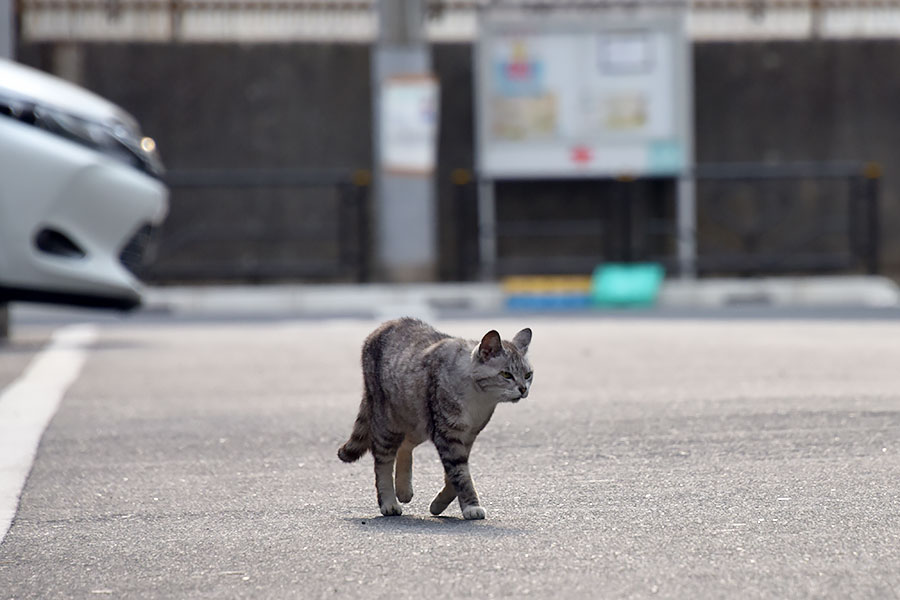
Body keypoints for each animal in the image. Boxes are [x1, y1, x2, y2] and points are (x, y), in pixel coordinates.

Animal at [338, 318, 536, 520]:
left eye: (528, 375)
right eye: (506, 375)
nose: (523, 389)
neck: (478, 396)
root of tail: (384, 325)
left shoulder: (468, 435)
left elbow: (455, 475)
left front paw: (439, 504)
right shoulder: (448, 434)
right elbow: (460, 474)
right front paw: (471, 506)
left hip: (418, 419)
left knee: (405, 445)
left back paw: (403, 490)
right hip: (389, 422)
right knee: (382, 462)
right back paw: (389, 502)